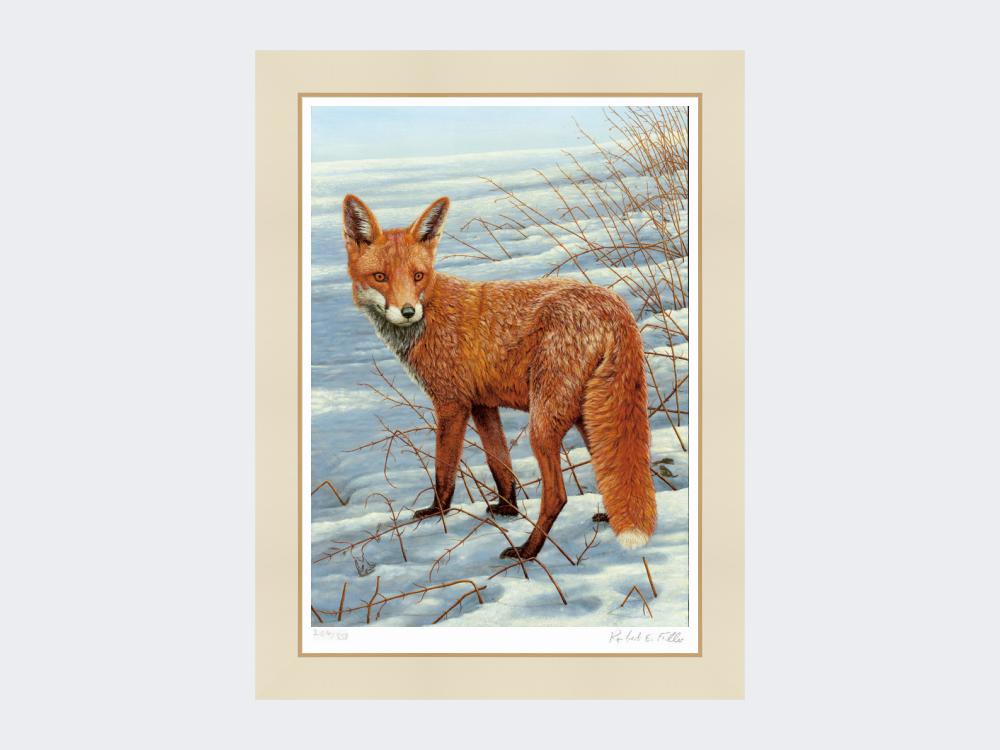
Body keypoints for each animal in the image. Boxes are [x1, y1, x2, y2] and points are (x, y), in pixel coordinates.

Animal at [342, 194, 656, 559]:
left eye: (418, 276)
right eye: (380, 276)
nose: (408, 311)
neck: (431, 311)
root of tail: (614, 306)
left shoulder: (452, 404)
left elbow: (443, 471)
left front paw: (437, 512)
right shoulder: (483, 405)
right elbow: (500, 465)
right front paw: (507, 509)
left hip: (544, 421)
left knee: (558, 496)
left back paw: (528, 551)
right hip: (588, 414)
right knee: (619, 467)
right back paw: (610, 516)